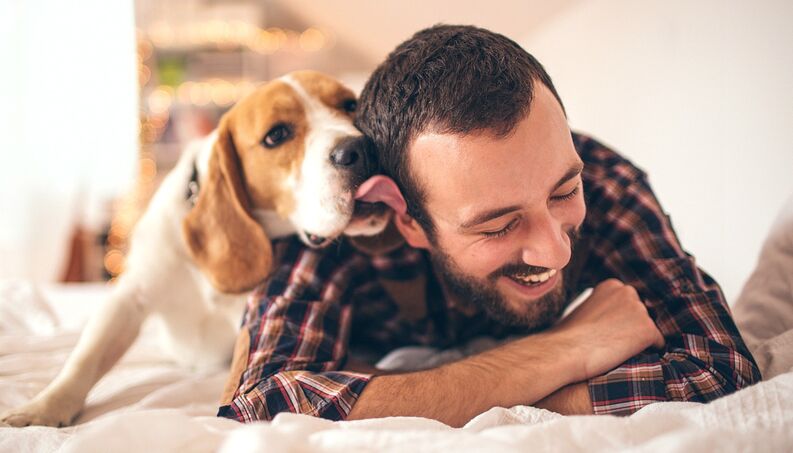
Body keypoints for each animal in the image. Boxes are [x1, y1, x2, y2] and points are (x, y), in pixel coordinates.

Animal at [2, 70, 392, 428]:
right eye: (277, 135)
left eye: (350, 105)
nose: (361, 149)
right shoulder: (129, 298)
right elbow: (86, 357)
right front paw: (43, 408)